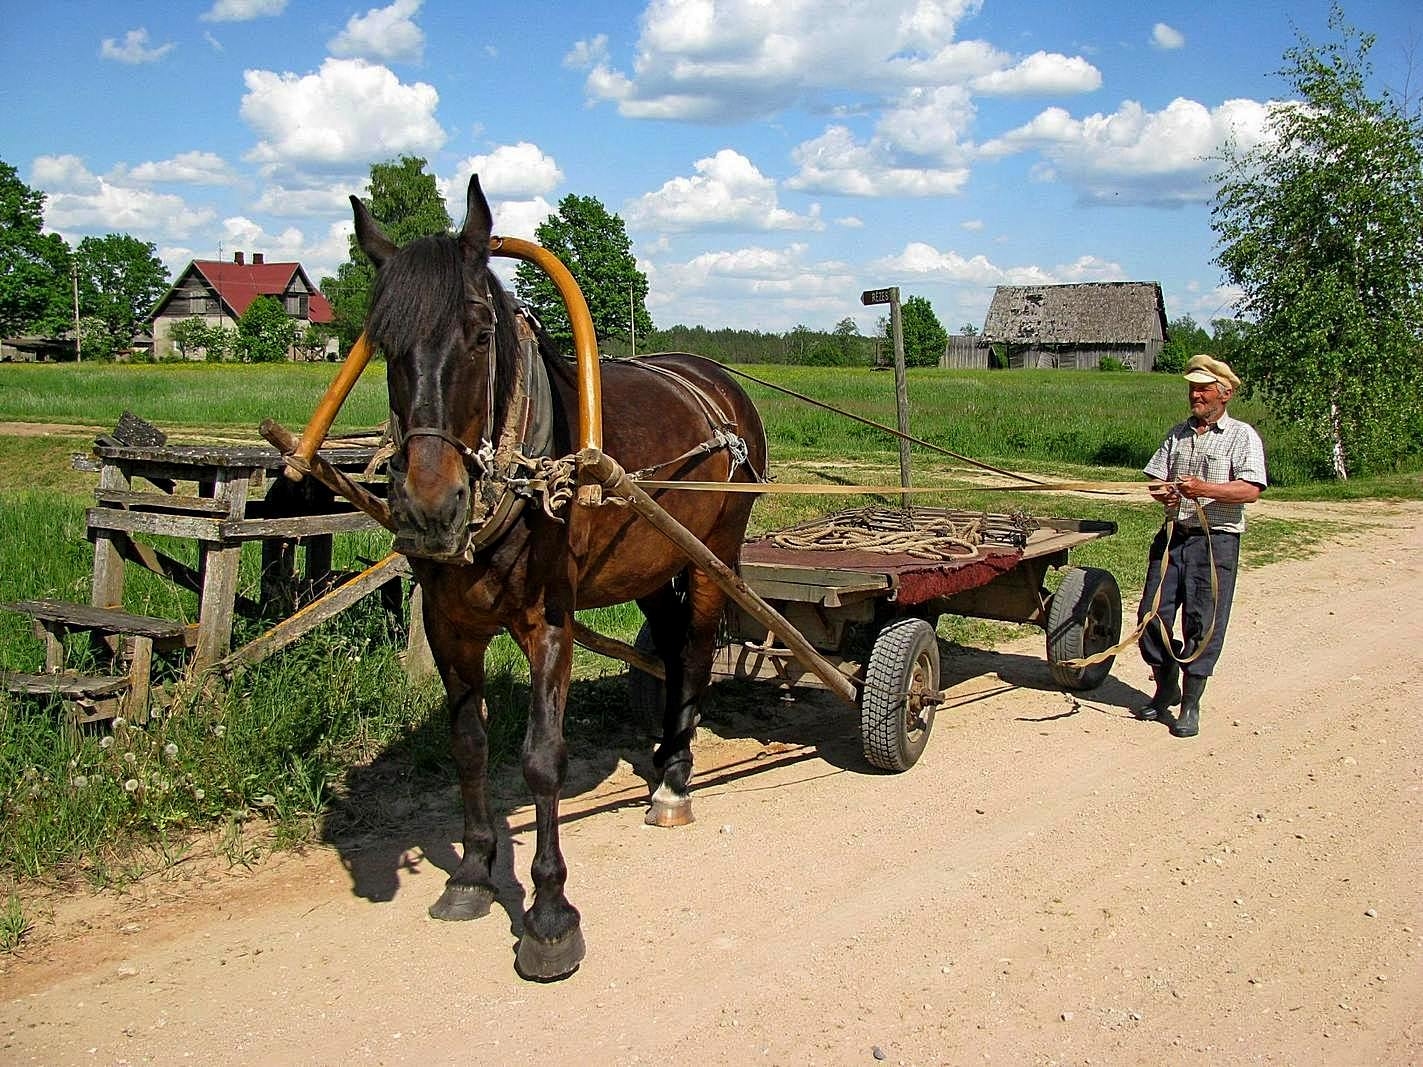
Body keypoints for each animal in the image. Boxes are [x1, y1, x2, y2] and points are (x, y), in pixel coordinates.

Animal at [354, 177, 774, 984]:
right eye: (383, 342)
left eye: (478, 332)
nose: (428, 508)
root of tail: (716, 380)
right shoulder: (447, 625)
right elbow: (469, 744)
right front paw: (473, 871)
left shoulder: (549, 622)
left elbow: (541, 760)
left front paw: (550, 917)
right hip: (653, 562)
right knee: (668, 642)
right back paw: (661, 754)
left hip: (712, 552)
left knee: (695, 651)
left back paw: (675, 781)